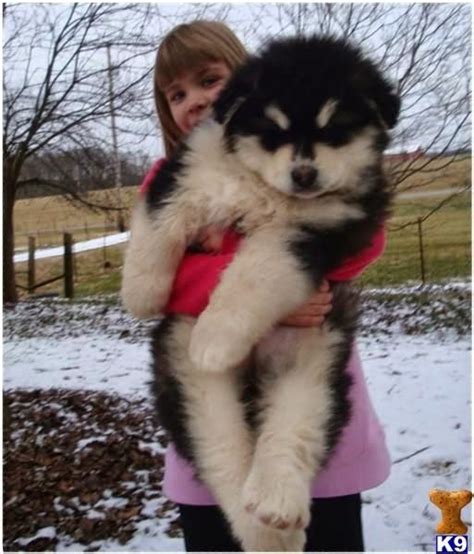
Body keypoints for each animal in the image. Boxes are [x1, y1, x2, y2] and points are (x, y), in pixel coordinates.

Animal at [122, 35, 400, 552]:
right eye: (273, 131)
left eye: (335, 130)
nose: (305, 175)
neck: (262, 188)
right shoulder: (189, 172)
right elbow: (160, 220)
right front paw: (142, 292)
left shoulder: (314, 232)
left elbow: (256, 270)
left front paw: (215, 339)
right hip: (188, 379)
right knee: (222, 451)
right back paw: (265, 530)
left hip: (317, 365)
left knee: (291, 428)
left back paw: (276, 511)